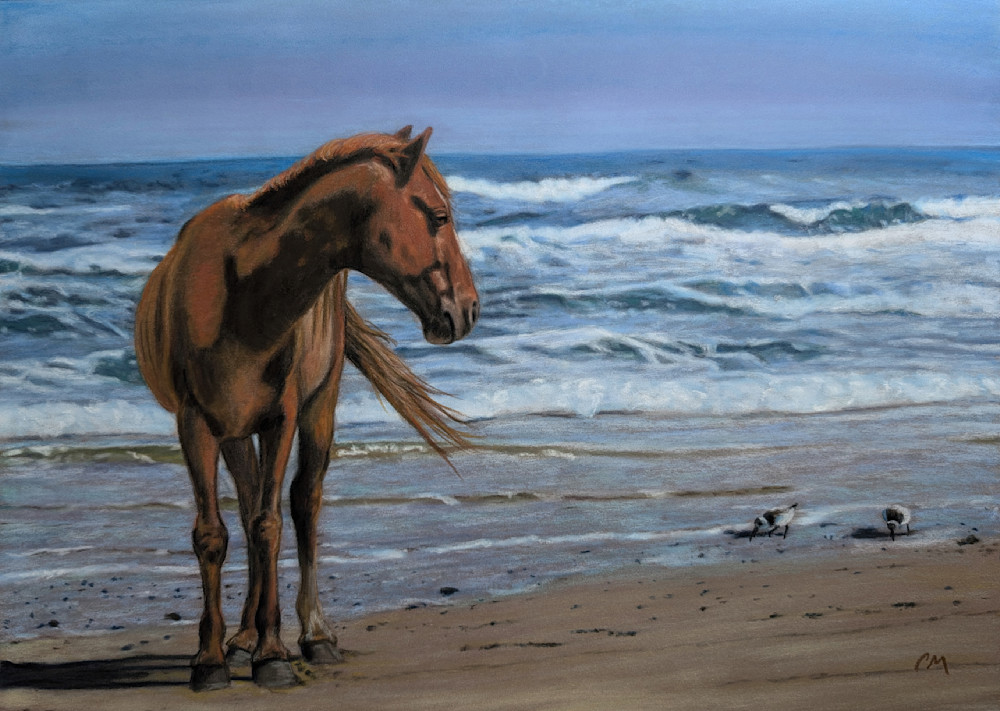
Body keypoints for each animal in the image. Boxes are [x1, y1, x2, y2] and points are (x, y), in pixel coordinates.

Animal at [134, 126, 479, 690]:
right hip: (234, 433)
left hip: (319, 408)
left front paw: (273, 655)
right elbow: (214, 533)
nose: (467, 310)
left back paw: (314, 636)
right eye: (439, 216)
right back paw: (243, 637)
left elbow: (270, 526)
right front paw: (211, 659)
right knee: (250, 505)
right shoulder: (196, 425)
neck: (241, 295)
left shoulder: (283, 418)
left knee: (303, 503)